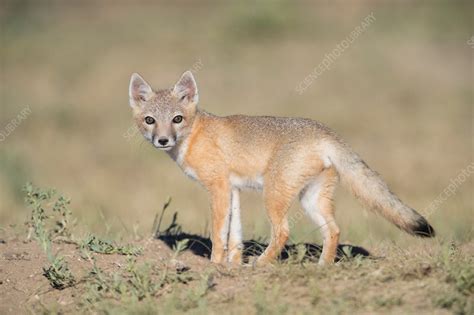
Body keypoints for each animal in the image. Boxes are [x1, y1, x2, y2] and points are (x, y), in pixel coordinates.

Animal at [128, 70, 436, 266]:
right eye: (150, 120)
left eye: (177, 119)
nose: (163, 140)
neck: (195, 135)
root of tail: (324, 131)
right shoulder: (233, 189)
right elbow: (235, 235)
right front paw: (233, 265)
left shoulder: (218, 188)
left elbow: (219, 234)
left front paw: (216, 264)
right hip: (311, 199)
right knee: (333, 230)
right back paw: (322, 267)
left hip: (274, 196)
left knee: (283, 232)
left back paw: (263, 263)